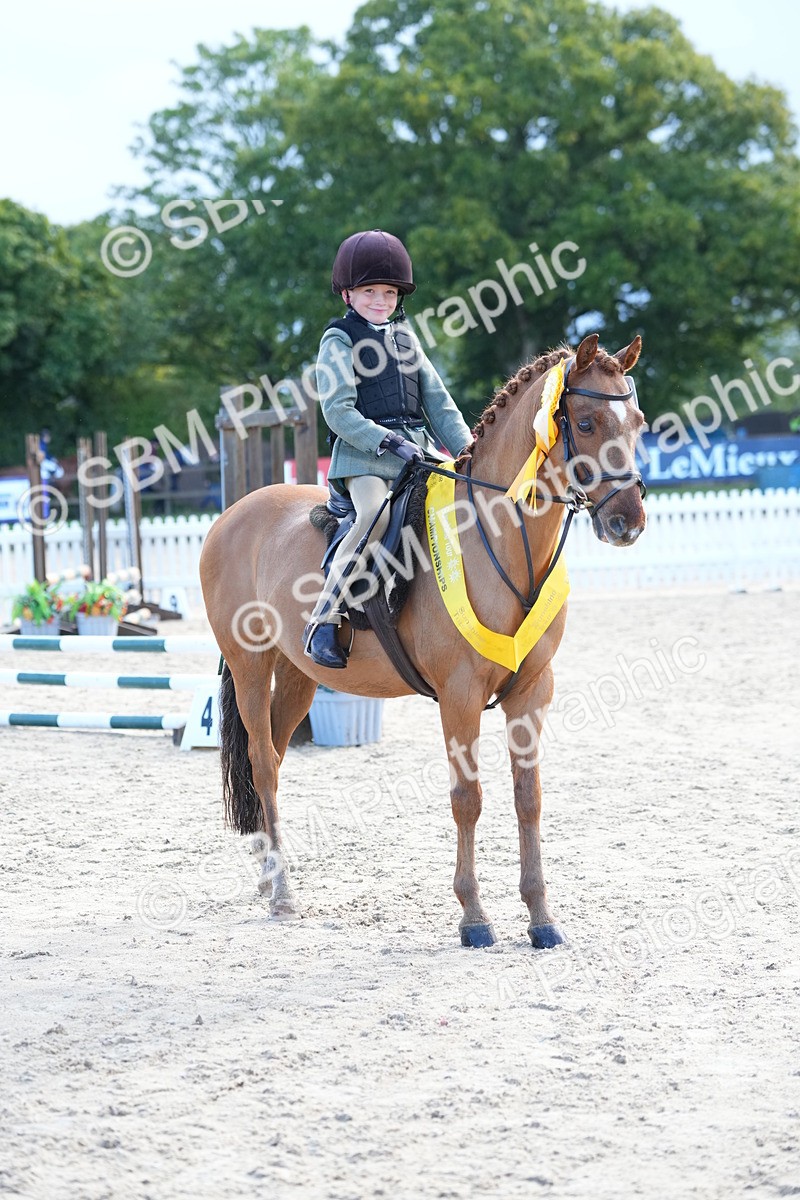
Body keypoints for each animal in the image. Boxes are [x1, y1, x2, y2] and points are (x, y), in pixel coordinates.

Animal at [199, 332, 647, 948]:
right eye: (584, 423)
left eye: (639, 422)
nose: (629, 521)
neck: (497, 540)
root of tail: (233, 514)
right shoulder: (459, 695)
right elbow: (468, 799)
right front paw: (474, 918)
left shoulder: (532, 691)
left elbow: (528, 799)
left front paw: (541, 919)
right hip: (250, 664)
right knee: (263, 762)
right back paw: (283, 894)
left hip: (296, 675)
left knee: (276, 756)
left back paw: (269, 878)